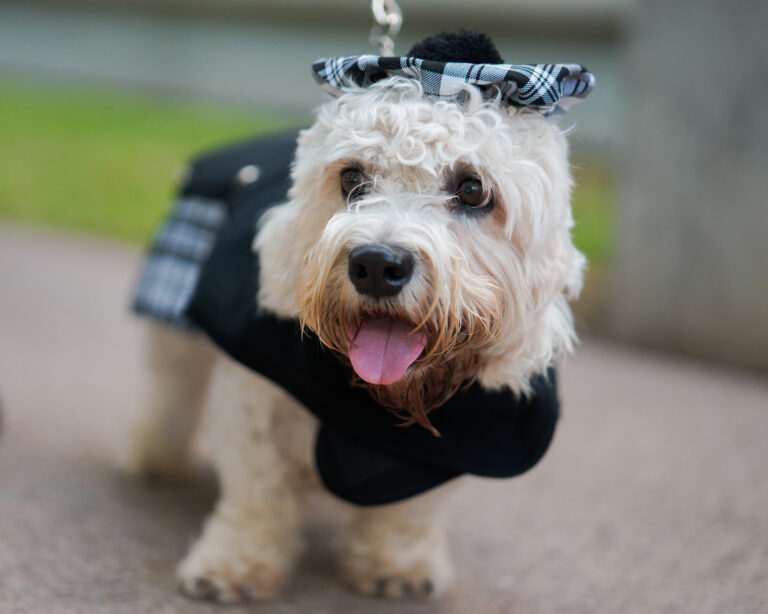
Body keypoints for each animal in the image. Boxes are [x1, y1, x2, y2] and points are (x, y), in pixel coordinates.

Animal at [126, 31, 592, 604]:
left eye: (473, 189)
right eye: (352, 177)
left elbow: (409, 514)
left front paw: (397, 565)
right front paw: (233, 563)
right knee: (170, 390)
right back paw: (154, 455)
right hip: (173, 329)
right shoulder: (253, 399)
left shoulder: (444, 454)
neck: (379, 397)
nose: (375, 265)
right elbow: (257, 491)